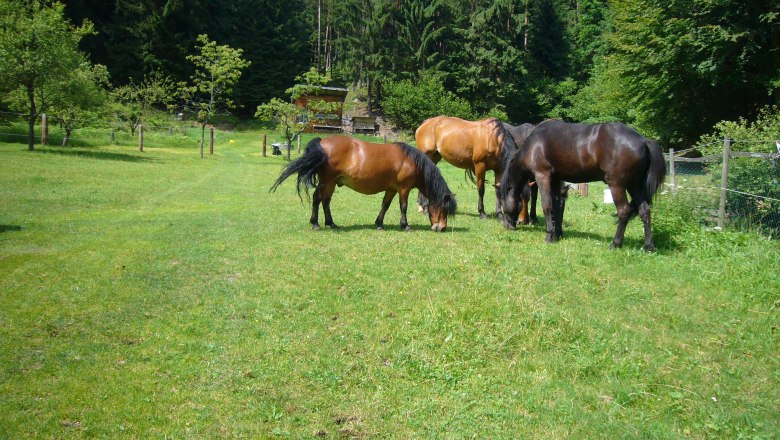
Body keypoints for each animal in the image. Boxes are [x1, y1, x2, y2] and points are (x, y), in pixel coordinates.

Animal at [271, 136, 458, 232]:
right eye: (444, 209)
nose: (441, 228)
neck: (412, 161)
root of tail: (322, 143)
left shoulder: (391, 189)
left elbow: (385, 205)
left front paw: (379, 224)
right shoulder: (403, 189)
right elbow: (403, 207)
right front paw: (405, 226)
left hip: (331, 183)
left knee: (326, 201)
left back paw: (331, 223)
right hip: (326, 181)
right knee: (317, 198)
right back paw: (316, 223)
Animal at [499, 120, 666, 251]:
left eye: (502, 202)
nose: (508, 226)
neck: (533, 145)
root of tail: (643, 141)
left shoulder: (543, 177)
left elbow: (547, 206)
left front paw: (549, 236)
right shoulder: (555, 180)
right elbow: (557, 206)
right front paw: (557, 234)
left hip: (617, 186)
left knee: (624, 211)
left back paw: (615, 243)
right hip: (635, 186)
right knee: (645, 211)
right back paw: (648, 246)